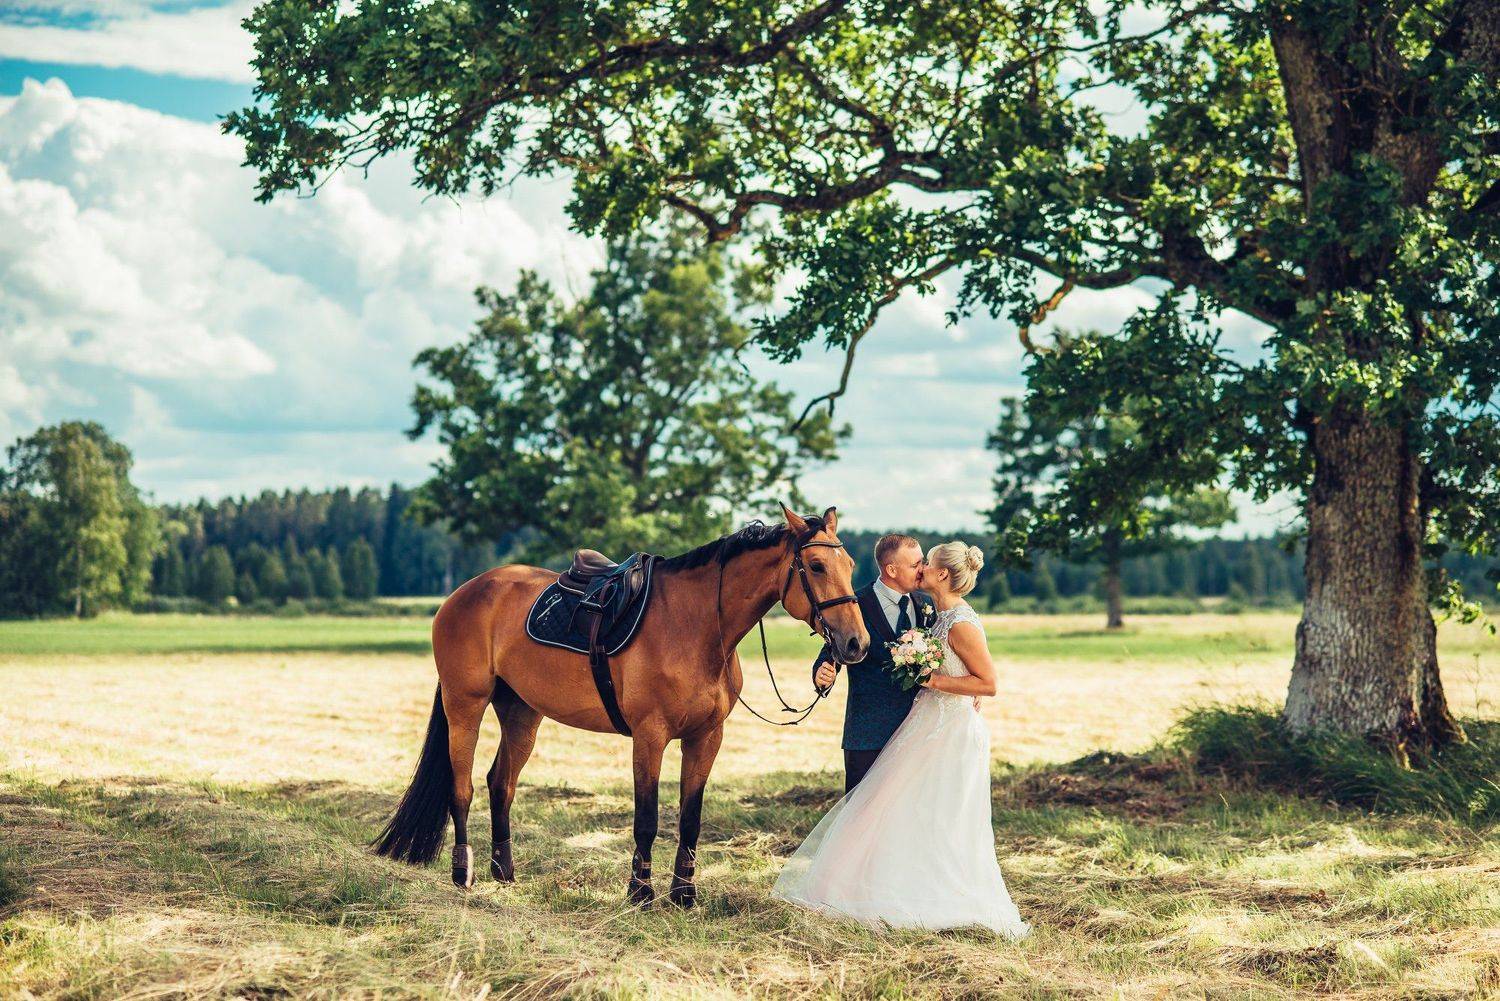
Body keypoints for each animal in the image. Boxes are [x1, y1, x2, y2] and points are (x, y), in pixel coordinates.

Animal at [372, 504, 870, 906]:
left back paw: (505, 873)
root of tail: (462, 593)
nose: (856, 643)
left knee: (501, 784)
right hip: (465, 706)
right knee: (463, 787)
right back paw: (463, 874)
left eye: (849, 564)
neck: (695, 626)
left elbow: (691, 818)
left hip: (522, 712)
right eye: (817, 565)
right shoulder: (649, 736)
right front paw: (640, 892)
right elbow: (647, 818)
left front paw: (684, 894)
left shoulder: (706, 738)